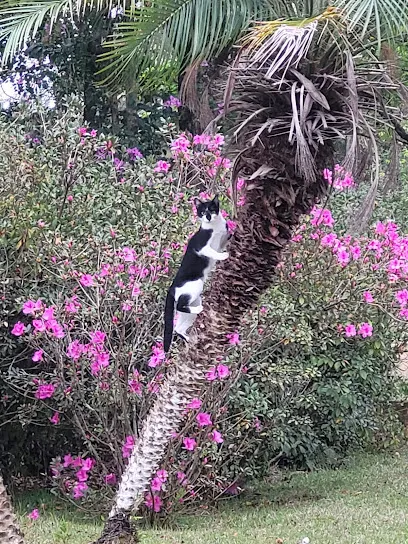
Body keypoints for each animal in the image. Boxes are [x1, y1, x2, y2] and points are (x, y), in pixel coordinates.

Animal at [164, 196, 231, 352]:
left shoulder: (222, 239)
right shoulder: (202, 247)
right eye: (202, 211)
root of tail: (172, 288)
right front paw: (223, 256)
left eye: (211, 209)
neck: (215, 227)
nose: (207, 216)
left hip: (193, 304)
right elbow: (213, 252)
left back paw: (189, 338)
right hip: (195, 285)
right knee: (180, 305)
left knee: (178, 327)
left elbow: (226, 238)